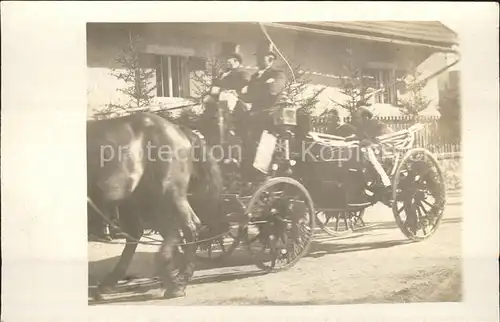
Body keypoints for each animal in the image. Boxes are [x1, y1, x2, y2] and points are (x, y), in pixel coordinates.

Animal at [88, 111, 223, 300]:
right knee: (145, 232)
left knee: (187, 227)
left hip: (168, 194)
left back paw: (177, 281)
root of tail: (178, 129)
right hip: (140, 199)